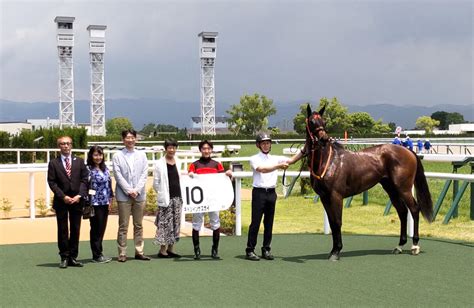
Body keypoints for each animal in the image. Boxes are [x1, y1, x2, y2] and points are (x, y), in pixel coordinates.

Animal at [304, 105, 434, 260]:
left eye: (324, 121)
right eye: (312, 122)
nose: (324, 139)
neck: (328, 161)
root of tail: (408, 151)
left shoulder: (336, 196)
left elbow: (337, 222)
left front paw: (336, 251)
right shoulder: (325, 197)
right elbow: (332, 222)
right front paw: (333, 250)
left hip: (404, 188)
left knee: (414, 209)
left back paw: (415, 246)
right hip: (391, 189)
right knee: (402, 212)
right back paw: (399, 246)